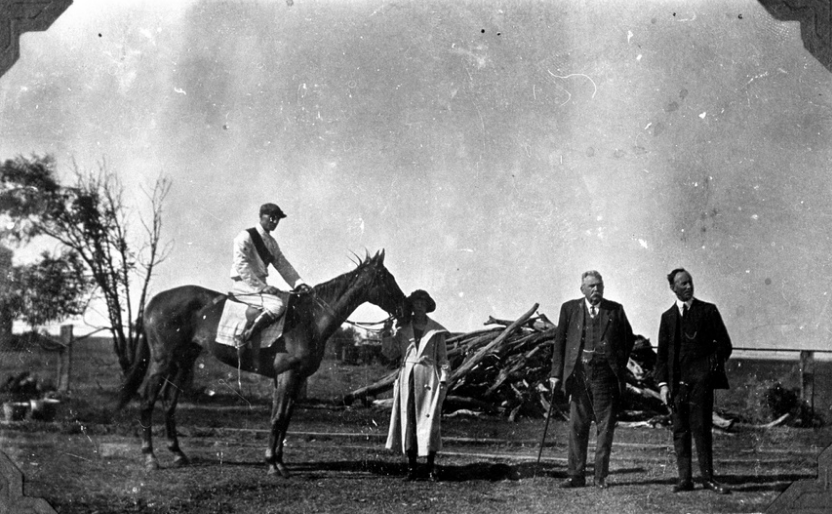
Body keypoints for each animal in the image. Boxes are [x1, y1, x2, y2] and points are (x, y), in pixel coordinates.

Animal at [116, 250, 404, 474]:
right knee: (148, 401)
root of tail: (156, 300)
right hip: (162, 361)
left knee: (169, 402)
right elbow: (278, 418)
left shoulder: (293, 378)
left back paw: (177, 454)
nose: (406, 307)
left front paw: (278, 461)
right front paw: (273, 465)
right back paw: (150, 457)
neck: (310, 318)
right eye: (386, 278)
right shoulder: (287, 375)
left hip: (184, 361)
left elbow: (284, 418)